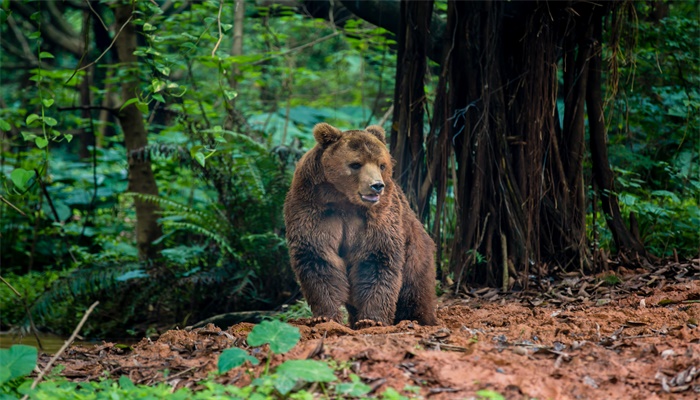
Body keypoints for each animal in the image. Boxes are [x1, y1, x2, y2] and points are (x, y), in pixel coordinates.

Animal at [282, 123, 434, 330]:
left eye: (381, 164)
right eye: (356, 164)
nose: (377, 185)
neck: (343, 198)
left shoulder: (379, 214)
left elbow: (377, 258)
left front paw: (372, 319)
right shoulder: (312, 207)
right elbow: (317, 257)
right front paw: (324, 317)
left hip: (415, 250)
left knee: (414, 289)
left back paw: (417, 319)